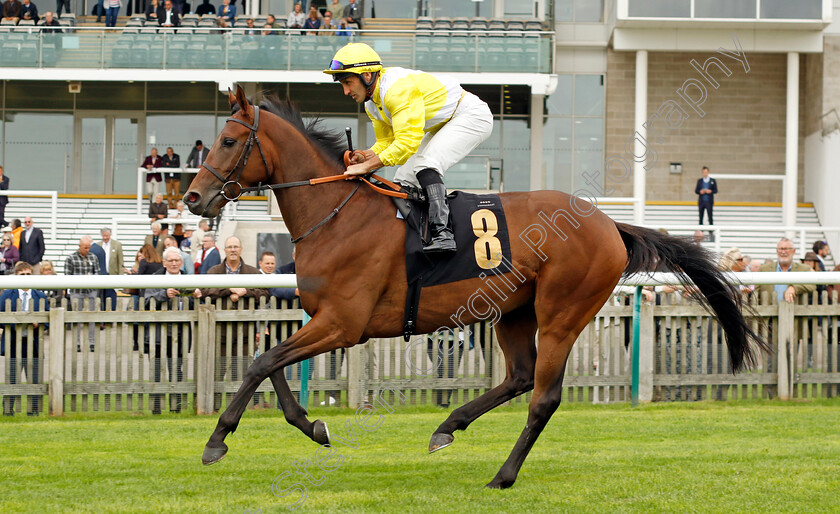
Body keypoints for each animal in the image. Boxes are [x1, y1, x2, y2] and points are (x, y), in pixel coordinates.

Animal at [184, 86, 768, 486]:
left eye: (228, 140)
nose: (192, 198)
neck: (337, 214)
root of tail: (609, 225)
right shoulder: (322, 318)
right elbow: (268, 359)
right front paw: (312, 426)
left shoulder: (344, 324)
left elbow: (262, 362)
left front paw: (216, 441)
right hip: (513, 311)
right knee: (519, 376)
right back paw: (449, 425)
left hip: (563, 312)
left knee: (543, 396)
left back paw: (503, 475)